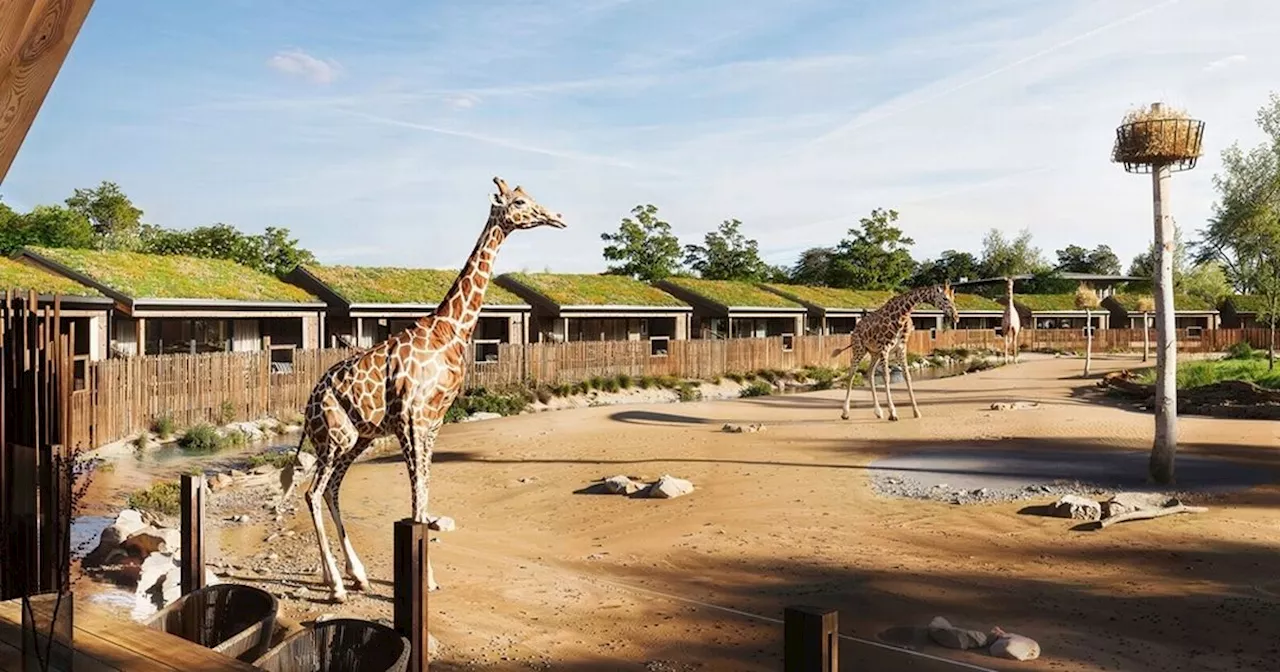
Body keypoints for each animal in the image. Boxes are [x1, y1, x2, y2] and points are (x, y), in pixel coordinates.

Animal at [282, 175, 568, 599]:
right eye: (518, 202)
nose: (558, 216)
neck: (451, 330)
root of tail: (308, 405)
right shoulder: (411, 420)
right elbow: (417, 498)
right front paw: (427, 579)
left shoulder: (433, 423)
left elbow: (426, 493)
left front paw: (428, 577)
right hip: (335, 438)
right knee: (312, 492)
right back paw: (335, 585)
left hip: (357, 438)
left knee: (331, 489)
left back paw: (357, 575)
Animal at [829, 281, 962, 419]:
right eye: (945, 298)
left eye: (953, 298)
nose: (956, 317)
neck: (902, 316)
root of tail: (855, 330)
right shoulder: (885, 349)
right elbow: (886, 377)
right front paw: (892, 413)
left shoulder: (900, 349)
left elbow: (907, 376)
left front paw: (916, 411)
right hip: (859, 349)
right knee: (852, 373)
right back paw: (845, 412)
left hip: (874, 353)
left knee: (870, 373)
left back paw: (878, 412)